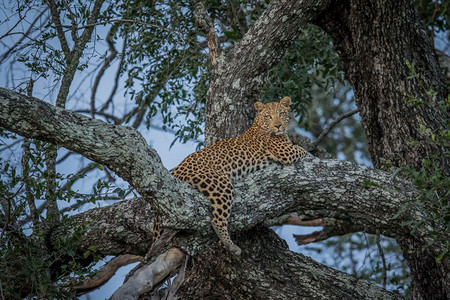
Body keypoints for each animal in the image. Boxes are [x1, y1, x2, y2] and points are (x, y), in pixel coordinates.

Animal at [153, 96, 308, 255]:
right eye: (268, 116)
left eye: (281, 113)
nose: (278, 126)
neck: (260, 125)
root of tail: (176, 170)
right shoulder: (286, 152)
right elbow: (302, 150)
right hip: (220, 183)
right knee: (217, 220)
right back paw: (231, 246)